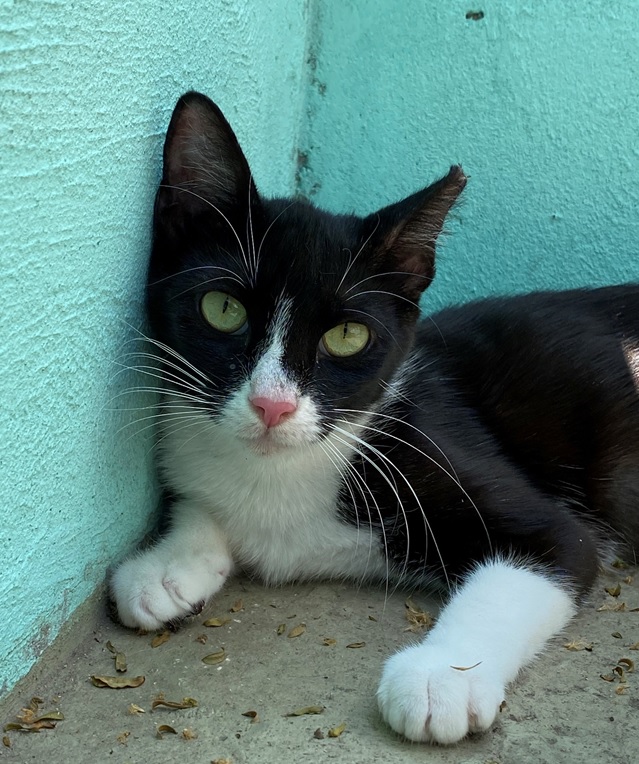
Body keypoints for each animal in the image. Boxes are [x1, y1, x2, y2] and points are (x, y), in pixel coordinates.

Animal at [110, 88, 639, 740]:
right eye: (223, 308)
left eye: (346, 336)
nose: (272, 404)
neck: (279, 475)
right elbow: (198, 503)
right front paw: (165, 566)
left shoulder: (544, 520)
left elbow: (543, 558)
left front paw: (443, 674)